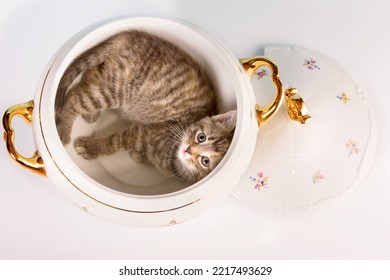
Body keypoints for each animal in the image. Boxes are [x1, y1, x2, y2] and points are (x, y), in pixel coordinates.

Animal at [55, 30, 236, 183]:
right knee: (75, 96)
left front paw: (140, 156)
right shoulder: (141, 132)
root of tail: (134, 36)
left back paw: (89, 113)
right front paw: (91, 148)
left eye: (205, 161)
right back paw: (65, 128)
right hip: (118, 89)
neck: (174, 159)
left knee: (91, 76)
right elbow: (115, 141)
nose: (189, 150)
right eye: (201, 137)